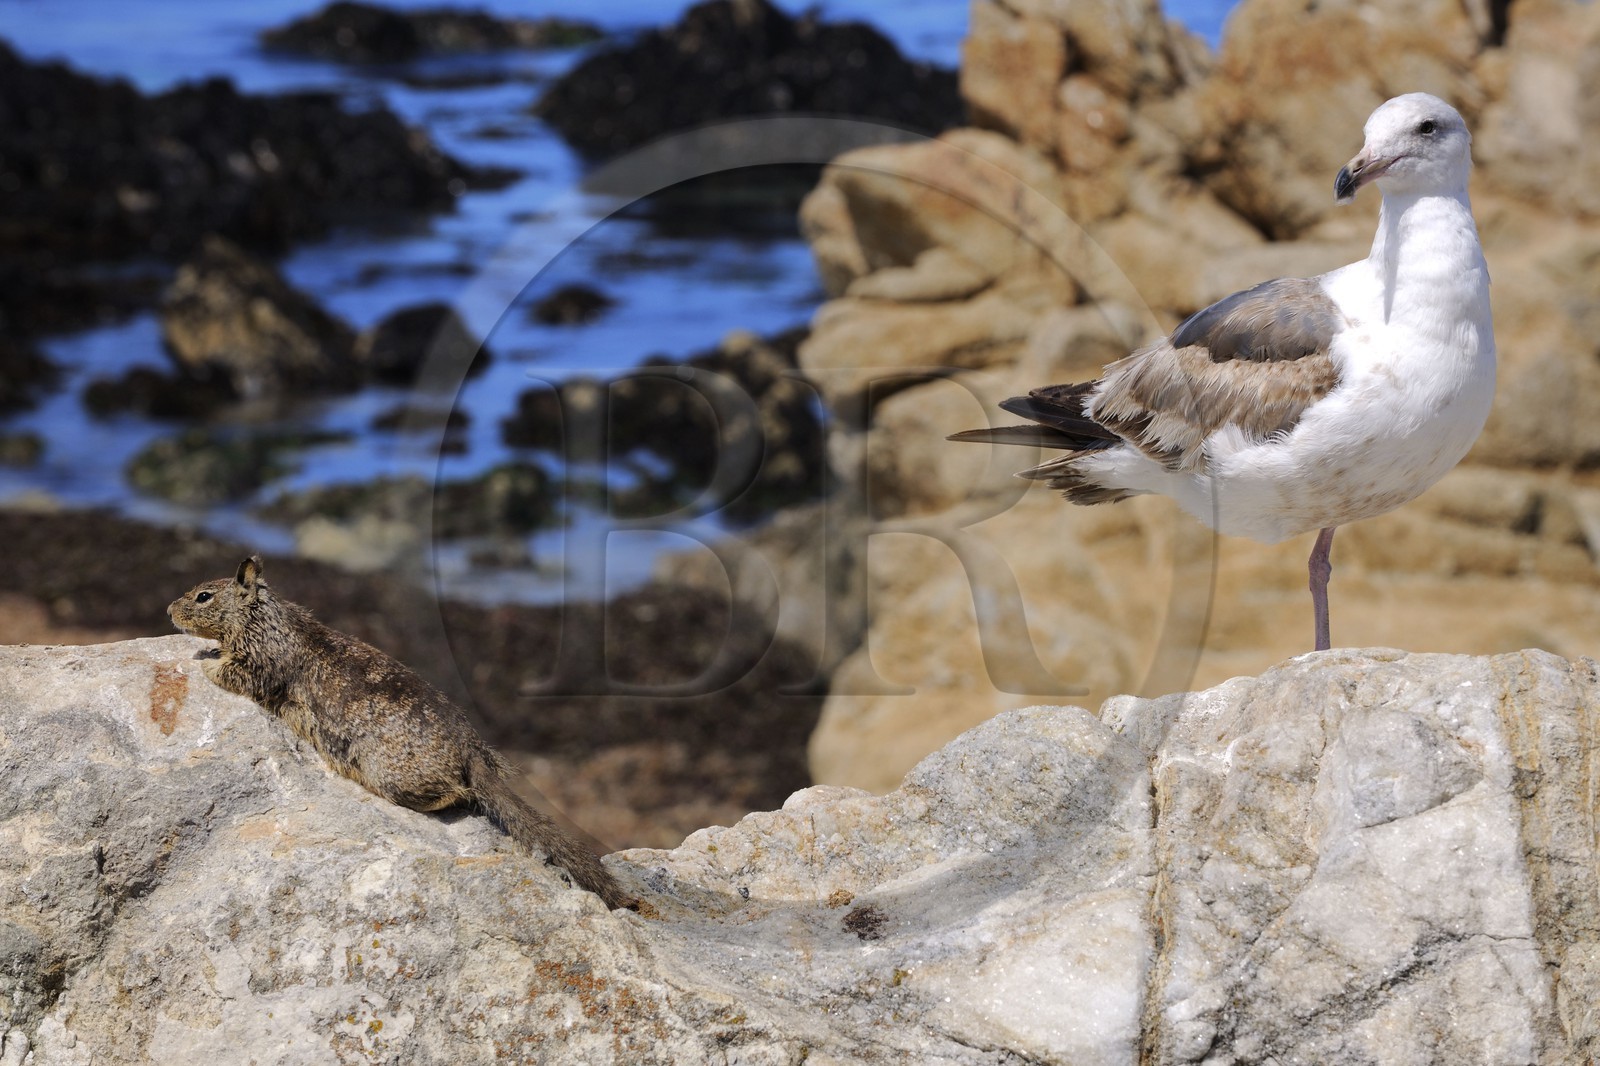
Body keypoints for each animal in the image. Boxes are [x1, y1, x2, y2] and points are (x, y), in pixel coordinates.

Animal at [168, 555, 633, 910]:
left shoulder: (261, 661)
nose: (169, 611)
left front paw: (207, 659)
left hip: (392, 773)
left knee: (451, 794)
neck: (265, 617)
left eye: (204, 595)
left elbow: (236, 673)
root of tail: (473, 753)